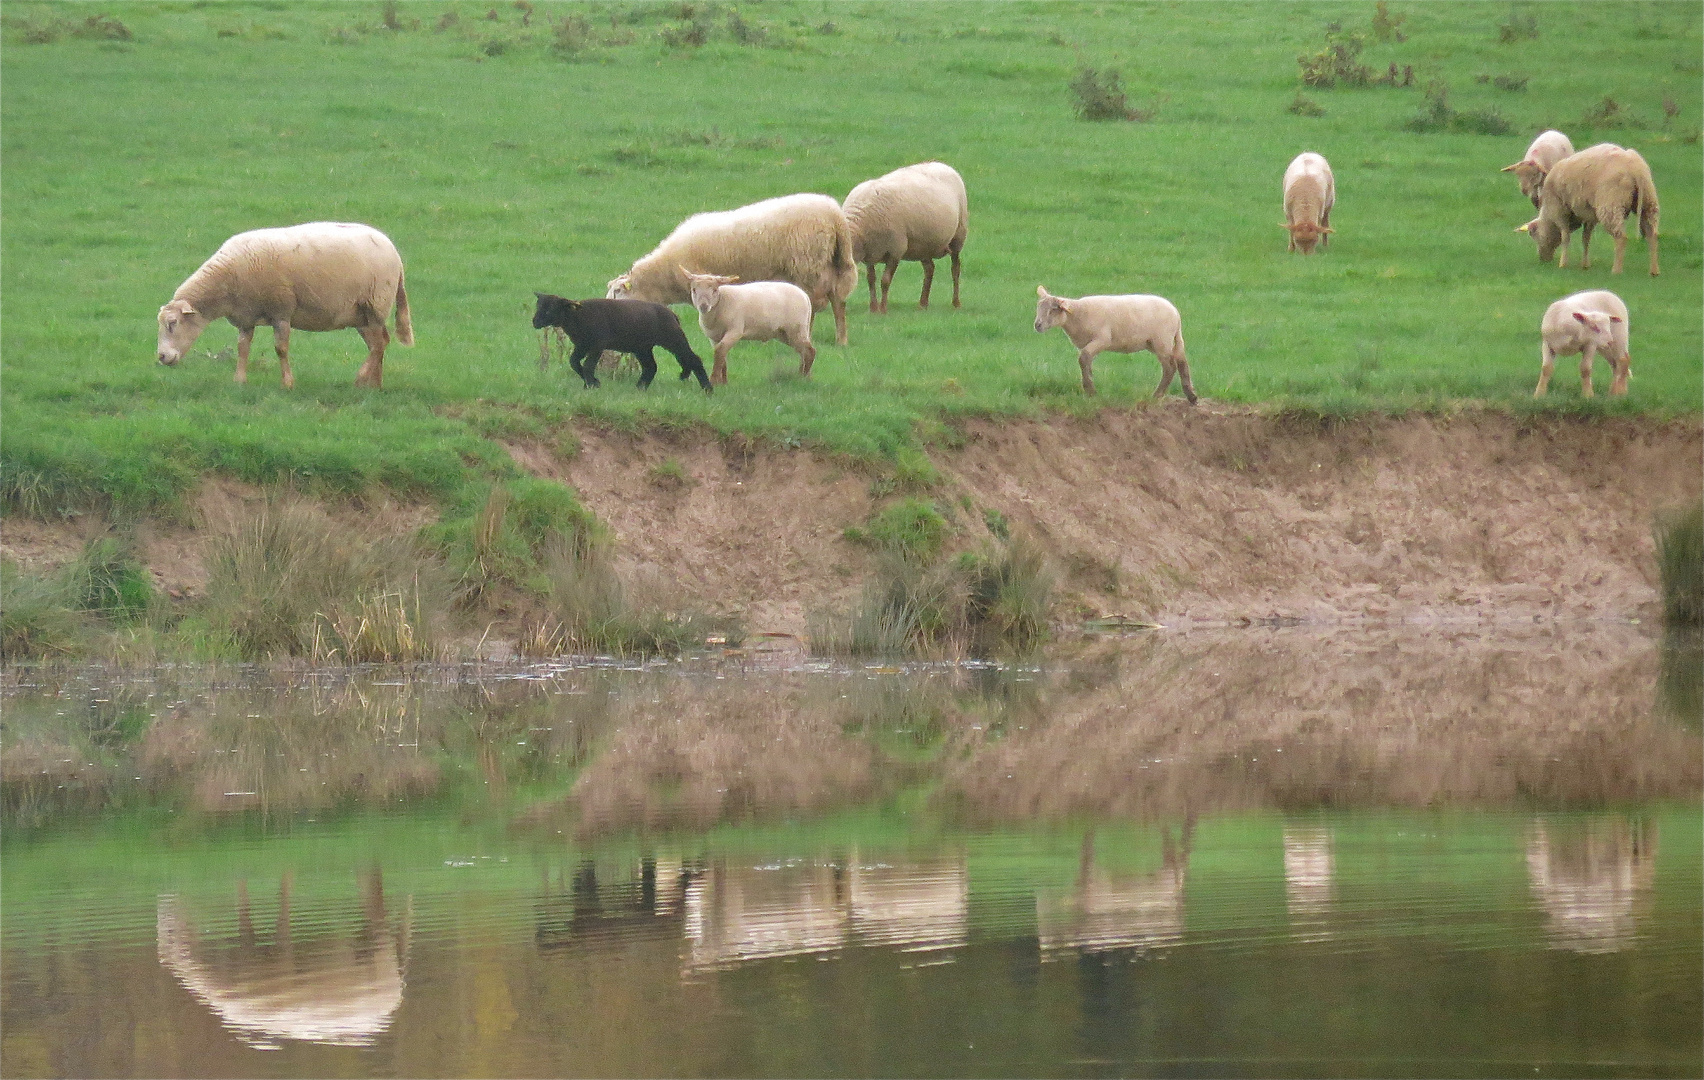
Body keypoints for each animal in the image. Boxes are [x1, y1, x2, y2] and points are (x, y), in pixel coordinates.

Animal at [153, 221, 412, 388]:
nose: (162, 357)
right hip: (359, 314)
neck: (227, 279)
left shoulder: (282, 311)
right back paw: (374, 385)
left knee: (378, 344)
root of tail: (393, 250)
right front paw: (239, 381)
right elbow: (242, 348)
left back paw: (360, 379)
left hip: (376, 304)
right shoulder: (246, 317)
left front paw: (287, 383)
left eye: (173, 323)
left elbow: (281, 349)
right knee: (379, 343)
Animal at [606, 191, 858, 344]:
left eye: (618, 291)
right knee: (837, 300)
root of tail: (835, 215)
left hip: (809, 265)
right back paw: (842, 340)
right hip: (829, 264)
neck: (665, 274)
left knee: (816, 303)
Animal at [681, 270, 814, 384]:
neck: (721, 302)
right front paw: (723, 382)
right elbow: (721, 355)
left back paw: (803, 377)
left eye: (714, 290)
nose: (703, 306)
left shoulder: (735, 331)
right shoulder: (714, 337)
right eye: (694, 290)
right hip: (785, 333)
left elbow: (720, 351)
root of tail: (805, 295)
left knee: (809, 351)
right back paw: (803, 375)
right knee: (803, 351)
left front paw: (714, 380)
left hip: (796, 328)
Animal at [841, 160, 974, 311]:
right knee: (929, 269)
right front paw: (873, 308)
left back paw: (956, 303)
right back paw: (923, 303)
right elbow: (871, 279)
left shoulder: (896, 250)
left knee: (955, 268)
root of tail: (942, 164)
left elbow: (885, 280)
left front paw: (883, 308)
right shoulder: (871, 251)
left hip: (958, 236)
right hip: (924, 244)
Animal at [1022, 284, 1199, 402]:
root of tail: (1175, 313)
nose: (1037, 325)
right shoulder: (1090, 343)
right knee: (1182, 362)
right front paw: (1090, 384)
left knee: (1170, 367)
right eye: (1039, 306)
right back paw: (1191, 396)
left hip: (1161, 341)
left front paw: (1090, 390)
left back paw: (1157, 395)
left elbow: (1083, 358)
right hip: (1163, 341)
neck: (1077, 314)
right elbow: (1086, 361)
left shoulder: (1102, 339)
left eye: (1053, 310)